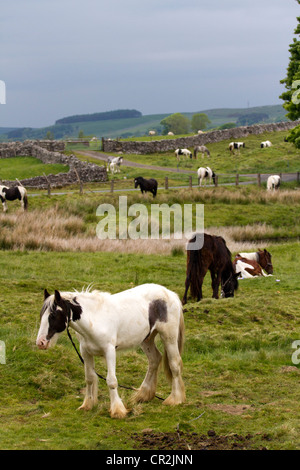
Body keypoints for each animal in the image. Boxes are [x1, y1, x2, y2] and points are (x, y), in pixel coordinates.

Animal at [35, 282, 185, 418]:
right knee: (154, 359)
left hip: (169, 337)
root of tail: (170, 293)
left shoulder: (110, 351)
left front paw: (117, 410)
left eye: (53, 315)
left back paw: (175, 399)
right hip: (146, 339)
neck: (94, 319)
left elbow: (111, 381)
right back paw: (143, 395)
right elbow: (89, 378)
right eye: (42, 314)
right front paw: (87, 405)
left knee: (174, 364)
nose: (41, 343)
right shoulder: (85, 353)